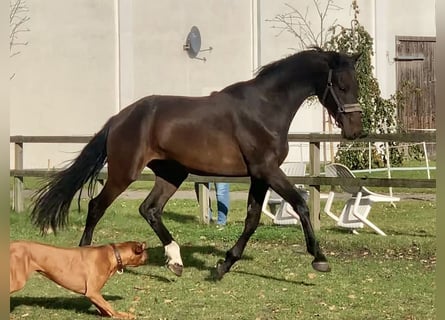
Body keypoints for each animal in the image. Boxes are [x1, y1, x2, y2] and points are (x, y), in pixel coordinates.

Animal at [10, 240, 147, 318]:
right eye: (144, 251)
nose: (148, 256)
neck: (114, 254)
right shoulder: (93, 292)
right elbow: (110, 307)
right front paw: (122, 315)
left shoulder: (93, 294)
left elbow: (105, 308)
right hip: (18, 281)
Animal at [33, 48, 362, 280]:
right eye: (340, 85)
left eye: (356, 84)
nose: (355, 130)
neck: (265, 108)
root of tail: (119, 118)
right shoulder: (268, 170)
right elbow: (300, 204)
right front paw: (319, 258)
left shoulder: (259, 175)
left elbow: (252, 219)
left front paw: (222, 265)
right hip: (123, 173)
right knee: (96, 207)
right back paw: (87, 254)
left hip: (171, 174)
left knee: (149, 209)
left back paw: (175, 261)